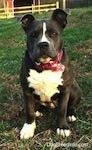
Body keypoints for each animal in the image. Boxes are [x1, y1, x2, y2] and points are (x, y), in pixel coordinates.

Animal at [19, 8, 81, 139]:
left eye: (53, 34)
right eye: (33, 35)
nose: (43, 44)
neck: (45, 66)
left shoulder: (65, 89)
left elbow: (62, 109)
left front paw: (62, 127)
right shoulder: (27, 90)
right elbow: (29, 111)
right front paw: (28, 128)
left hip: (74, 89)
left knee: (71, 105)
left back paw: (71, 114)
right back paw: (39, 110)